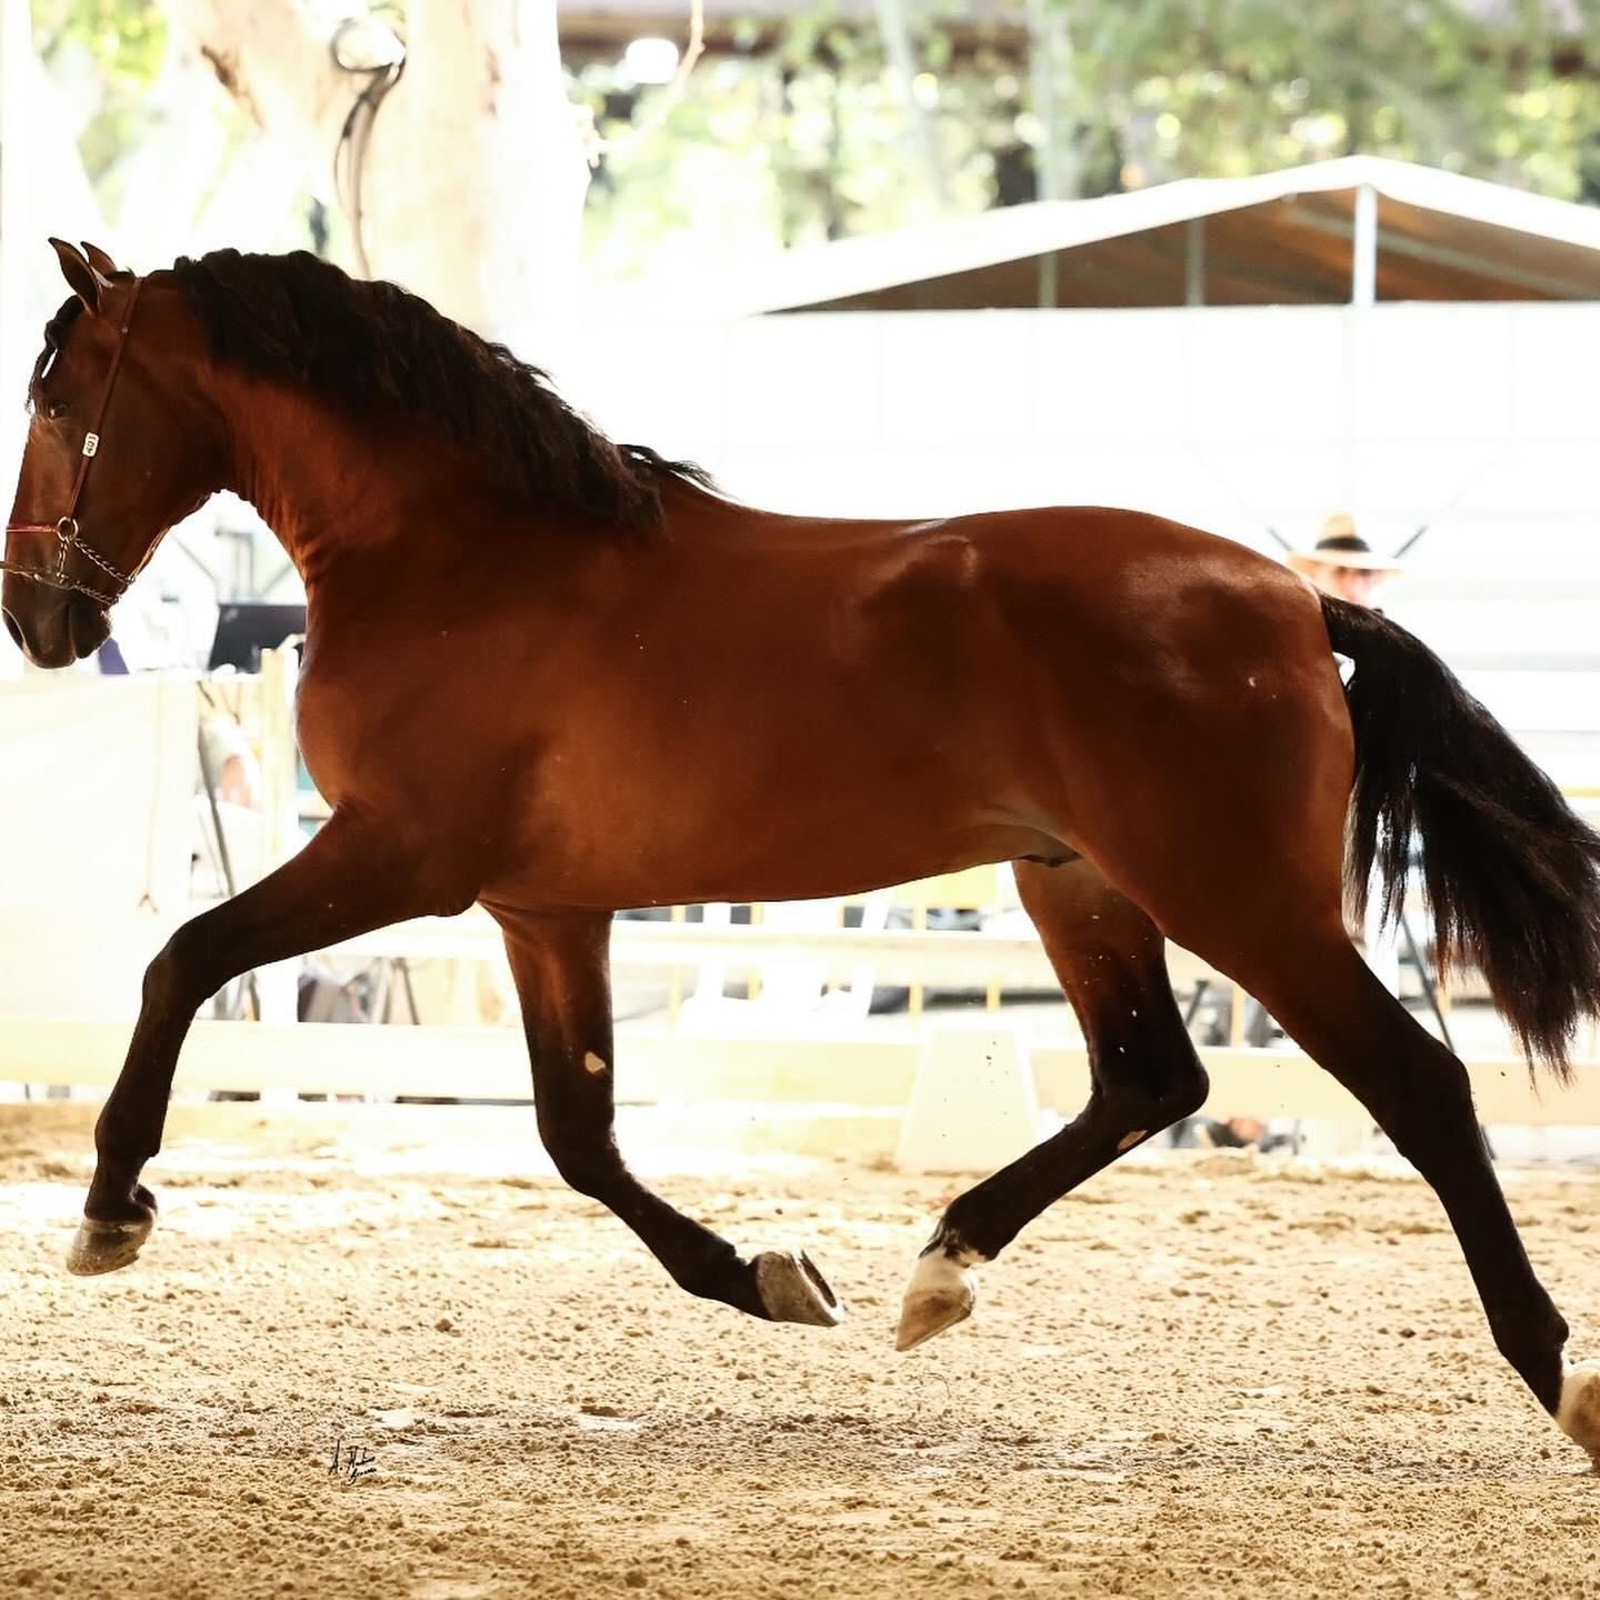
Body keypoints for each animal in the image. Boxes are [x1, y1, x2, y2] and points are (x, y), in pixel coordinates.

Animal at [6, 239, 1599, 1468]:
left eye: (62, 395)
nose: (35, 616)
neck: (463, 554)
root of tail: (1297, 601)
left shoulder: (399, 859)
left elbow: (181, 961)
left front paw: (108, 1211)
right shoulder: (545, 908)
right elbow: (577, 1135)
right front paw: (772, 1276)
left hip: (1238, 901)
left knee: (1415, 1085)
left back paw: (1558, 1375)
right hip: (1077, 884)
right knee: (1153, 1077)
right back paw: (939, 1273)